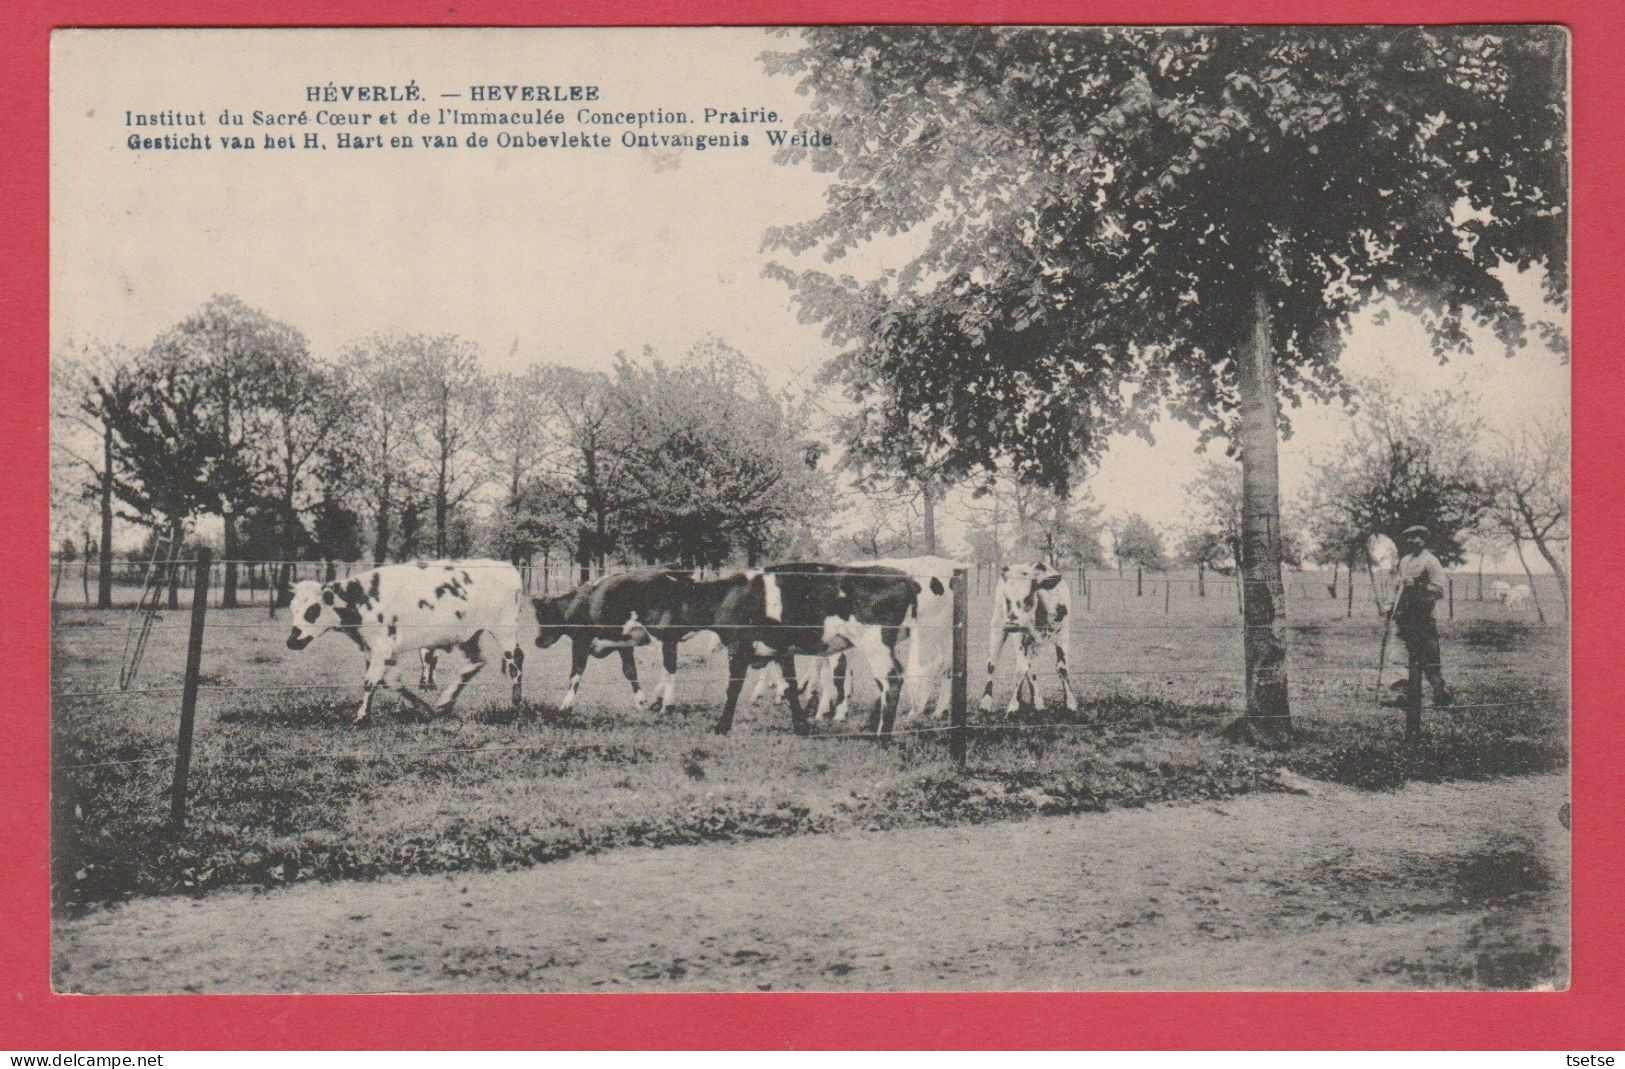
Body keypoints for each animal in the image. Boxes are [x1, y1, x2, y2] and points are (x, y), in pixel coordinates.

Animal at [286, 558, 523, 724]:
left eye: (312, 611)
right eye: (293, 608)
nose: (291, 641)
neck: (362, 599)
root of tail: (507, 568)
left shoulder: (382, 645)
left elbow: (370, 681)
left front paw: (361, 717)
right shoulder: (373, 648)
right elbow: (390, 681)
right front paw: (424, 708)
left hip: (504, 628)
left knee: (515, 661)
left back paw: (515, 707)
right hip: (468, 636)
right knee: (474, 663)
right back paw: (445, 701)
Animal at [975, 558, 1079, 714]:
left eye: (1028, 598)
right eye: (1007, 599)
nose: (1011, 625)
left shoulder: (1063, 634)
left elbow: (1062, 668)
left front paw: (1071, 703)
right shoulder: (1019, 635)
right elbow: (1020, 669)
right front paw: (1013, 706)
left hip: (1033, 643)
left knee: (1031, 669)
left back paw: (1037, 702)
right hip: (998, 628)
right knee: (992, 664)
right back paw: (986, 703)